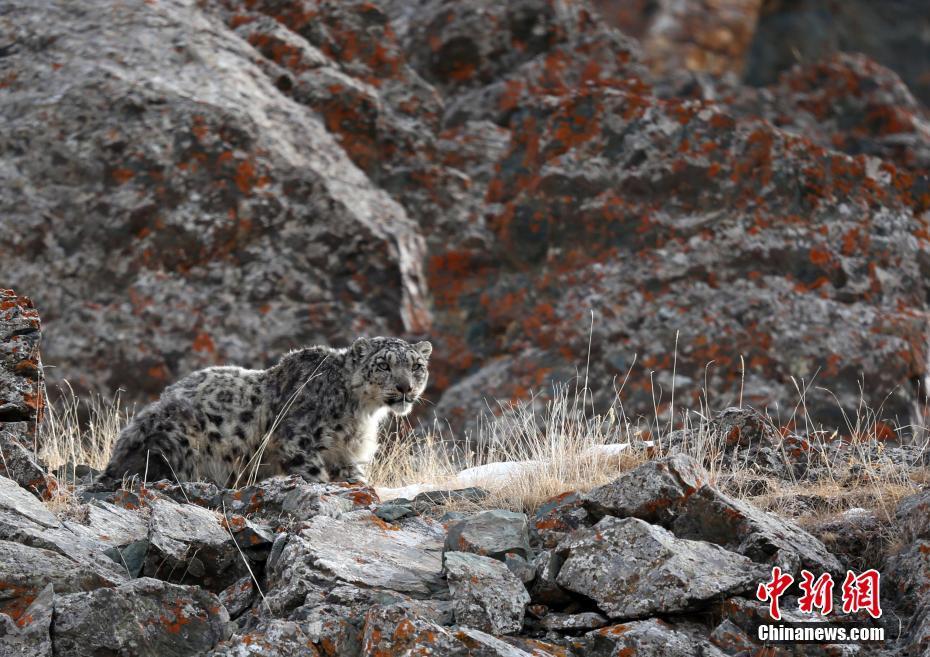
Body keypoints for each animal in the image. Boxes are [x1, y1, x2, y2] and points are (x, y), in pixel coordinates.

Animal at [94, 338, 432, 486]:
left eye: (417, 365)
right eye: (384, 365)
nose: (405, 387)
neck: (361, 414)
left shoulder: (345, 456)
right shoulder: (297, 442)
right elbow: (314, 474)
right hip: (176, 439)